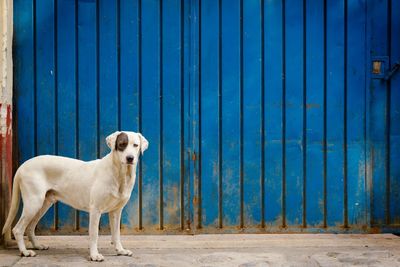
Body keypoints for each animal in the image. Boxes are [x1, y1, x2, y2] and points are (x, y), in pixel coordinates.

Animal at [1, 131, 148, 262]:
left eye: (135, 145)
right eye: (122, 144)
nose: (130, 158)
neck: (120, 173)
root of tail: (23, 166)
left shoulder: (116, 212)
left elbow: (116, 234)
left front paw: (120, 250)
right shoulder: (95, 210)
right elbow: (94, 235)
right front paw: (94, 255)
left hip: (43, 204)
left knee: (30, 227)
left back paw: (37, 246)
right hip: (34, 202)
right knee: (18, 229)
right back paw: (25, 252)